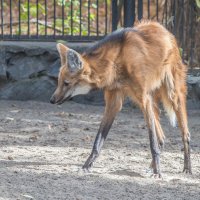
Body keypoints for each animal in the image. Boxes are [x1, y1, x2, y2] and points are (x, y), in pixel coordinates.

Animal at [49, 20, 191, 177]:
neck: (117, 62)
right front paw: (86, 166)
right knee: (161, 137)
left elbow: (151, 140)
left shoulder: (143, 98)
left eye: (66, 83)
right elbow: (98, 140)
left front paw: (158, 172)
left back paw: (187, 168)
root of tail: (164, 29)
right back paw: (151, 166)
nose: (52, 100)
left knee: (185, 134)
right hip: (145, 101)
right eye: (59, 82)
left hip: (171, 94)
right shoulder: (114, 101)